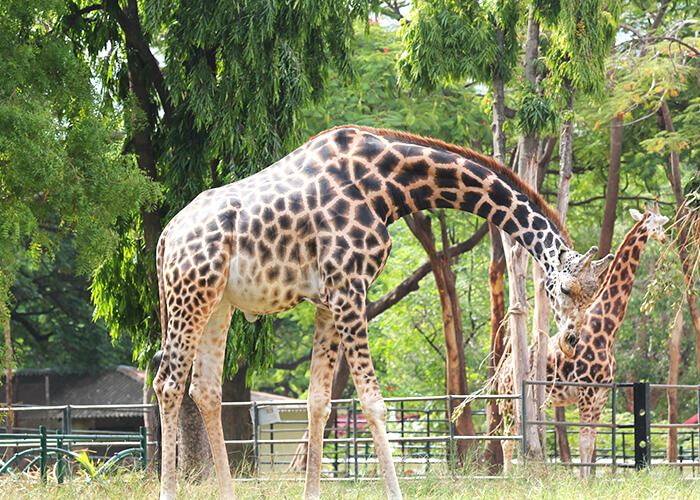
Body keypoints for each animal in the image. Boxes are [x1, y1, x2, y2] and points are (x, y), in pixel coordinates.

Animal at [153, 125, 612, 500]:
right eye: (565, 288)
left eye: (593, 296)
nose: (571, 343)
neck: (387, 186)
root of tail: (165, 238)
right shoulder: (349, 289)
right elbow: (373, 403)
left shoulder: (328, 301)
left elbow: (319, 402)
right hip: (189, 293)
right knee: (168, 384)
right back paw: (168, 492)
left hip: (218, 303)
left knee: (205, 390)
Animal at [496, 202, 668, 477]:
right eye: (657, 222)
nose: (664, 237)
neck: (607, 330)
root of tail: (501, 370)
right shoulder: (586, 391)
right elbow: (584, 443)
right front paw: (582, 482)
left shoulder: (601, 394)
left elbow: (591, 445)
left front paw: (589, 481)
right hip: (508, 402)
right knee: (507, 441)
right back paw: (507, 478)